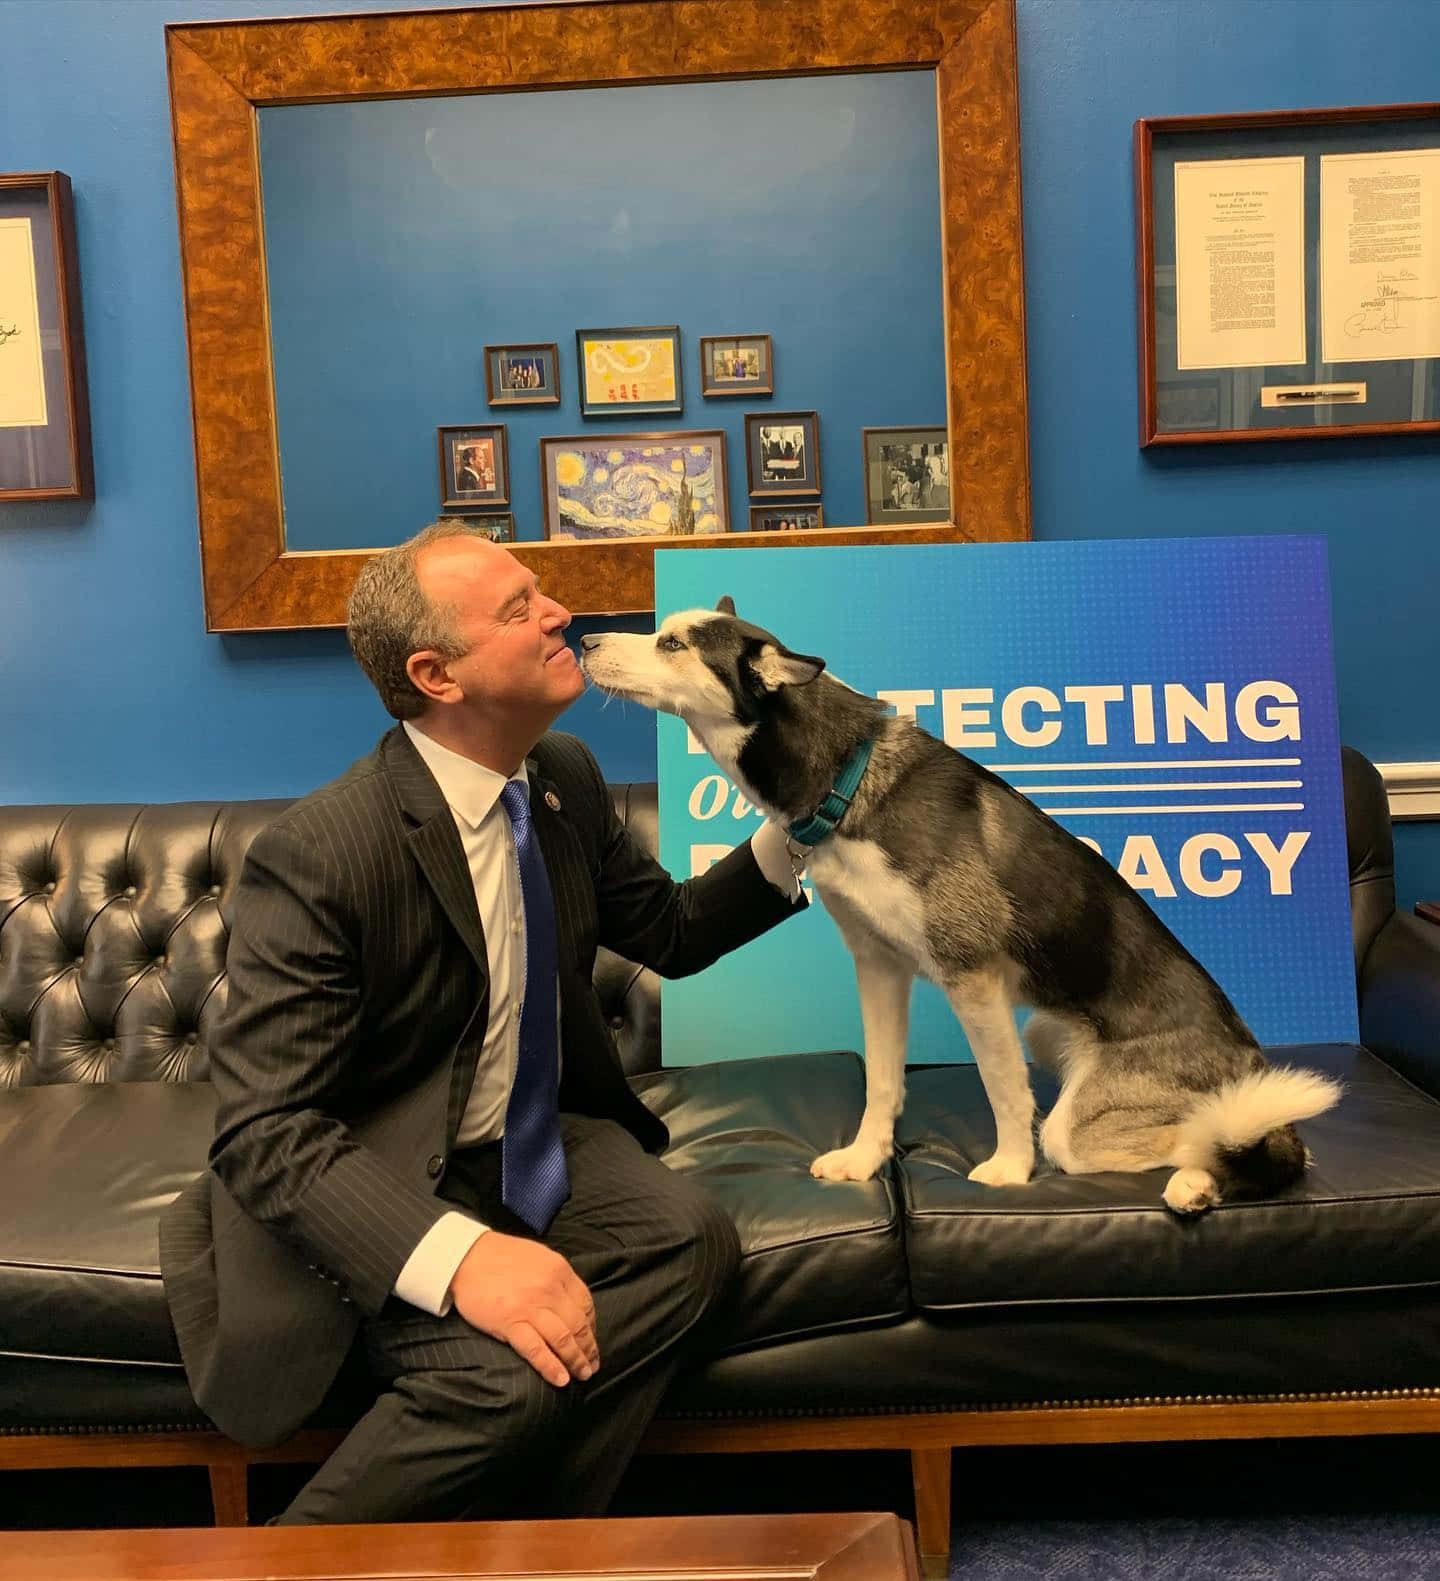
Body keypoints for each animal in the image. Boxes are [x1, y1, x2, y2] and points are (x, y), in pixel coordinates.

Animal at [578, 600, 1346, 1207]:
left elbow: (1004, 1088)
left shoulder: (969, 973)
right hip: (1043, 1030)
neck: (845, 778)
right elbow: (882, 1082)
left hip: (1099, 1111)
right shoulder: (879, 966)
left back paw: (1196, 1180)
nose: (584, 644)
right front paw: (865, 1159)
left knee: (1233, 1137)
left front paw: (1008, 1170)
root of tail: (1251, 1060)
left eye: (673, 644)